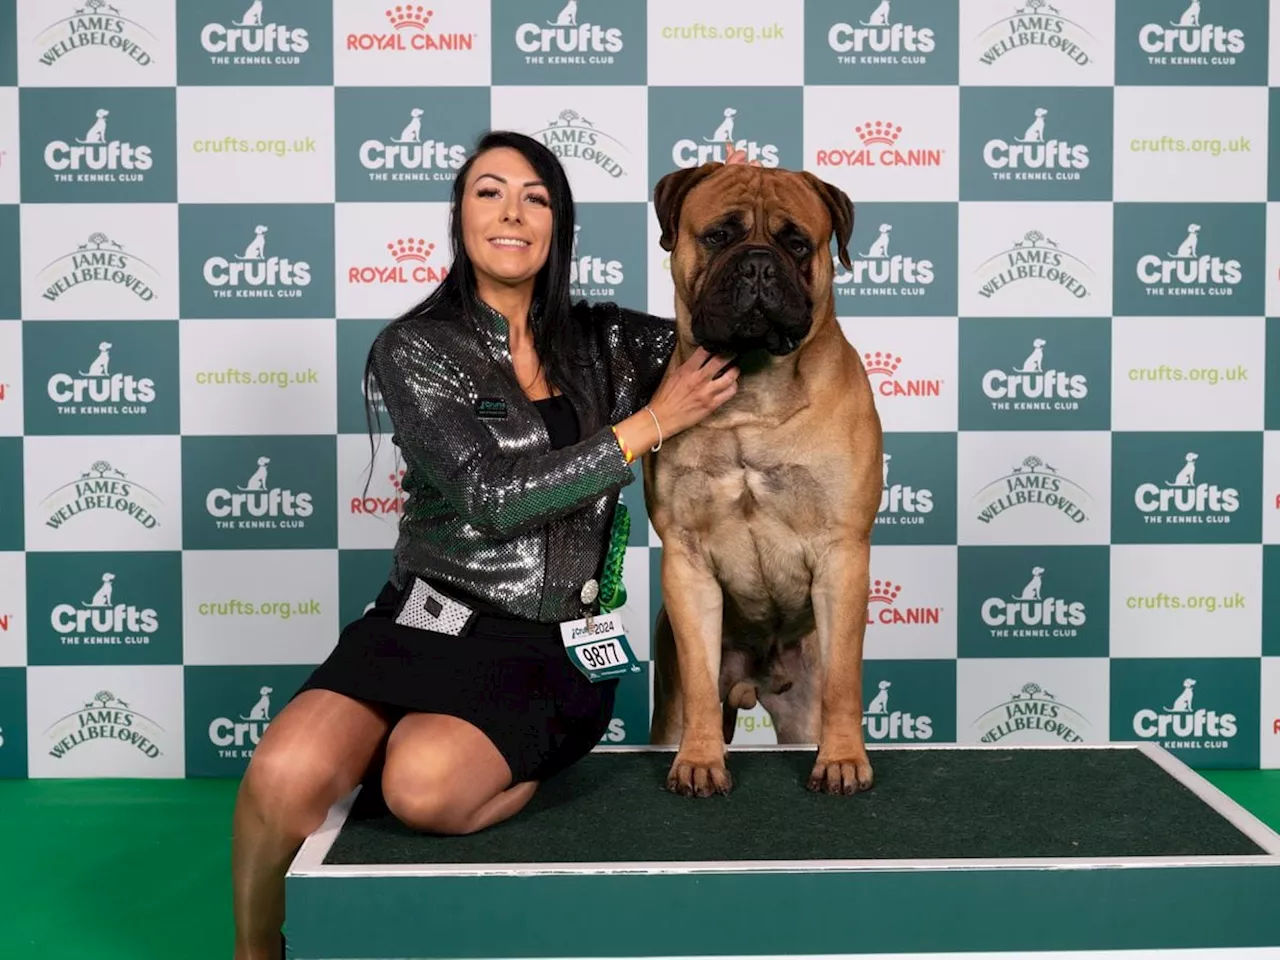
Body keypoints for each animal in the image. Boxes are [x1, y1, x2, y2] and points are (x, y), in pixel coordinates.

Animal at [650, 161, 880, 798]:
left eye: (797, 243)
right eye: (718, 236)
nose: (757, 264)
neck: (752, 393)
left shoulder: (842, 552)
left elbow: (845, 683)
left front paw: (843, 760)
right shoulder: (686, 561)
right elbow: (700, 682)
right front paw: (699, 761)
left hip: (802, 704)